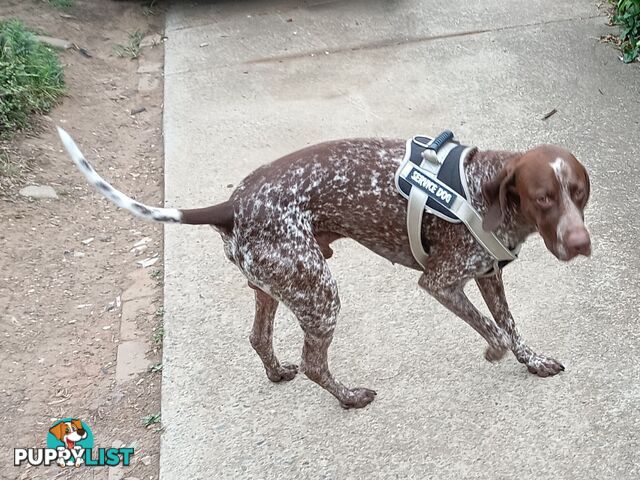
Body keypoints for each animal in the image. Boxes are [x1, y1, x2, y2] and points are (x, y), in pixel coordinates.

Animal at [56, 126, 592, 408]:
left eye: (579, 192)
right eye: (544, 197)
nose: (581, 243)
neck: (485, 189)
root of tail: (233, 204)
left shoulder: (487, 275)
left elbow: (511, 326)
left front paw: (534, 361)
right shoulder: (440, 282)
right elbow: (494, 331)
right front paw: (494, 353)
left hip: (278, 285)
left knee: (260, 338)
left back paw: (278, 373)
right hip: (321, 294)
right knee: (315, 364)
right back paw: (349, 397)